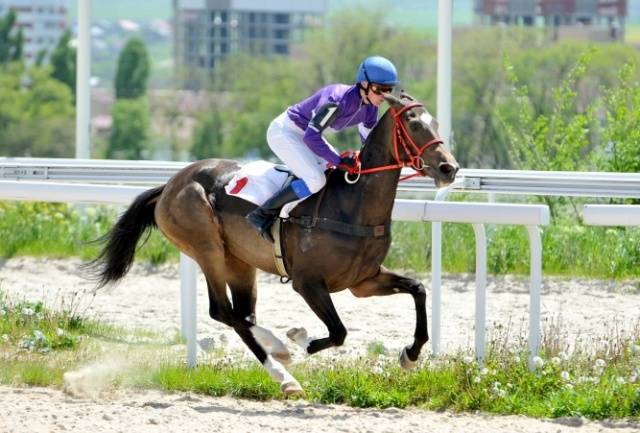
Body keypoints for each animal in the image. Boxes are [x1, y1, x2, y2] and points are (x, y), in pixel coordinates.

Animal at [90, 92, 460, 394]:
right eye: (414, 125)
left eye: (436, 123)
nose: (449, 168)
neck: (352, 206)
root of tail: (169, 185)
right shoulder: (308, 283)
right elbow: (338, 332)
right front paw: (303, 340)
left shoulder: (363, 281)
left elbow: (417, 289)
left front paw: (410, 354)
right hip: (206, 248)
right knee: (223, 312)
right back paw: (283, 370)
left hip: (240, 262)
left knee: (243, 315)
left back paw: (278, 351)